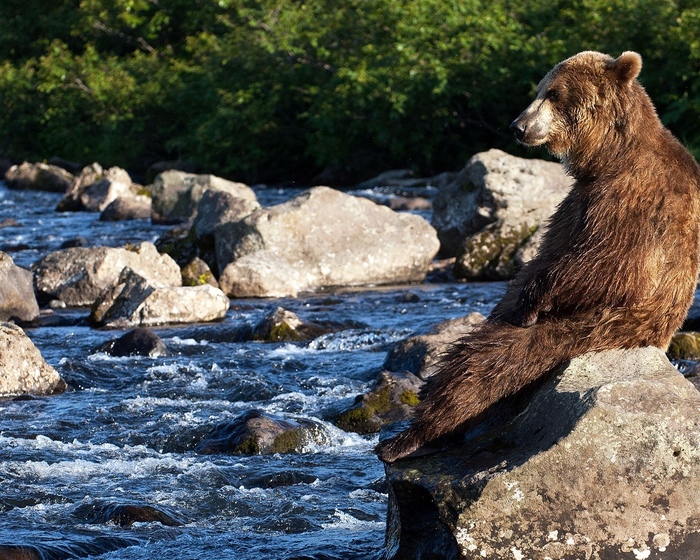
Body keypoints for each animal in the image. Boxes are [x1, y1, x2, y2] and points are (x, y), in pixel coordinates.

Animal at [374, 51, 700, 464]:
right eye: (540, 89)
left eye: (554, 93)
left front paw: (531, 301)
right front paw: (517, 302)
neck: (608, 156)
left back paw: (409, 438)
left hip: (593, 329)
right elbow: (542, 258)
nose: (518, 126)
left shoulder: (634, 200)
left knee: (490, 362)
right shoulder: (578, 201)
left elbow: (609, 265)